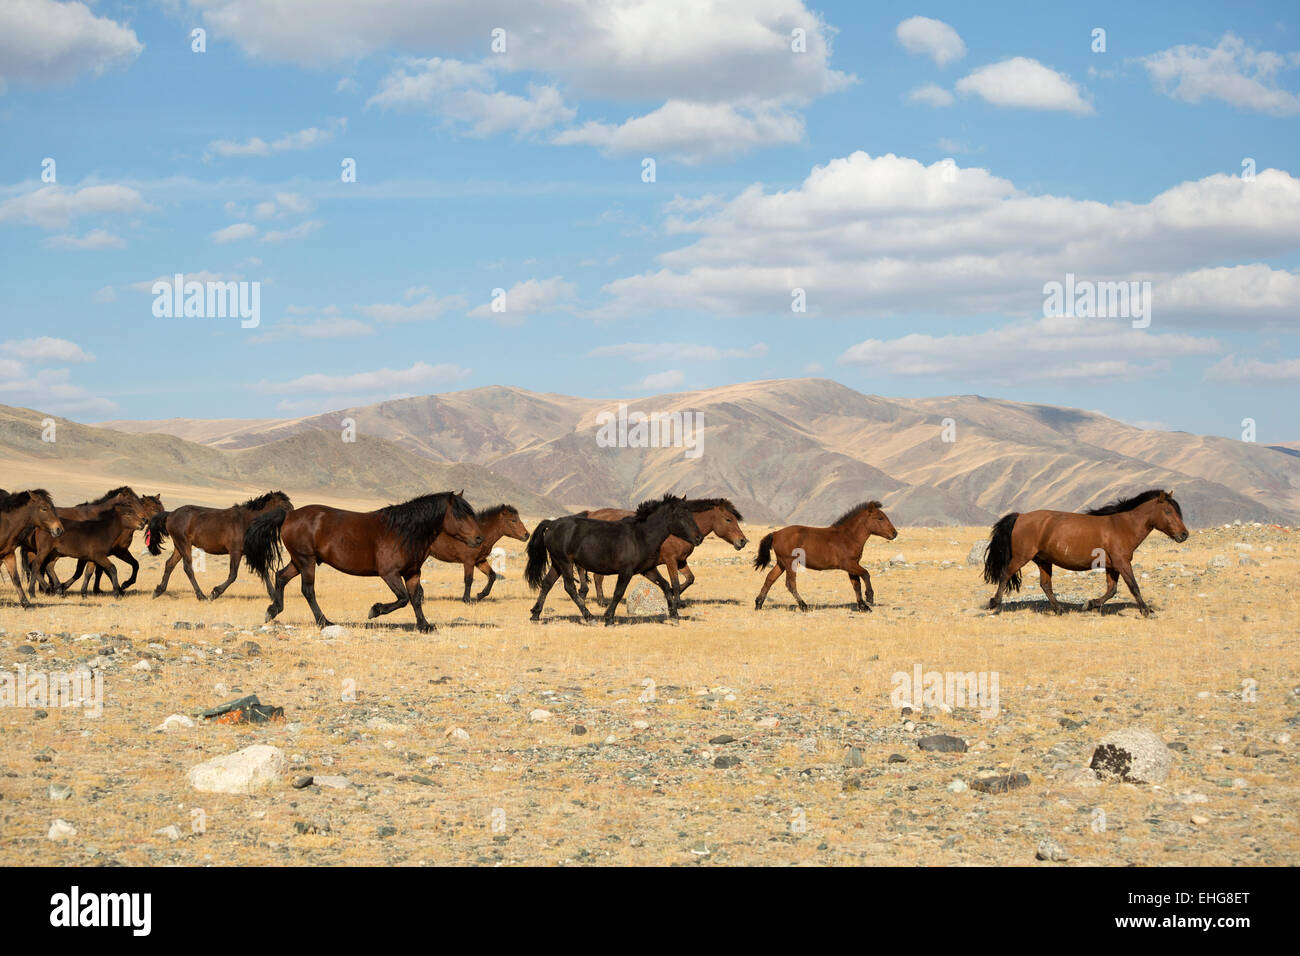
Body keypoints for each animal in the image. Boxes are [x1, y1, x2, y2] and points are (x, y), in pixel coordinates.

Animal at [148, 494, 293, 598]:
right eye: (284, 506)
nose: (292, 521)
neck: (245, 521)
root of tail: (170, 514)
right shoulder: (235, 551)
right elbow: (233, 575)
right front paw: (215, 592)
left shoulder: (249, 552)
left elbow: (264, 571)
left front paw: (273, 596)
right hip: (183, 544)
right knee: (188, 568)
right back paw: (201, 596)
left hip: (179, 546)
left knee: (169, 564)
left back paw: (158, 591)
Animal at [244, 494, 483, 634]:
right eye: (460, 514)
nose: (479, 538)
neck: (403, 532)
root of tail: (289, 515)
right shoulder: (389, 573)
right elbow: (403, 599)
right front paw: (374, 610)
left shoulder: (412, 573)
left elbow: (415, 599)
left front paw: (425, 626)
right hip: (306, 561)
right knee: (308, 590)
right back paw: (324, 622)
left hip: (299, 561)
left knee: (281, 577)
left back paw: (273, 610)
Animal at [577, 496, 748, 608]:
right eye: (728, 519)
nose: (742, 541)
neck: (678, 531)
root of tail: (591, 514)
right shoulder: (670, 560)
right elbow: (676, 583)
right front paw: (676, 602)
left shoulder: (681, 561)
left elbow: (689, 579)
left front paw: (673, 596)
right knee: (595, 576)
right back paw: (598, 600)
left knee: (596, 577)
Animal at [754, 502, 894, 613]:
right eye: (880, 518)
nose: (894, 533)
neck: (849, 537)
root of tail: (775, 533)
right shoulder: (848, 564)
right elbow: (866, 574)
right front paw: (869, 597)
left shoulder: (852, 566)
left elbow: (856, 585)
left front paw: (863, 607)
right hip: (789, 563)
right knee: (790, 583)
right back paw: (803, 606)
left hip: (781, 563)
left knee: (770, 579)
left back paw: (758, 604)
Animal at [982, 489, 1190, 616]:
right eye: (1168, 511)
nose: (1184, 535)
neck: (1122, 526)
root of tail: (1021, 516)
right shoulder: (1122, 563)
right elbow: (1133, 586)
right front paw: (1146, 611)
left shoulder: (1112, 566)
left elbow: (1111, 590)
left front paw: (1090, 604)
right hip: (1021, 557)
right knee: (1005, 575)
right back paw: (994, 603)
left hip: (1043, 561)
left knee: (1045, 585)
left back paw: (1059, 610)